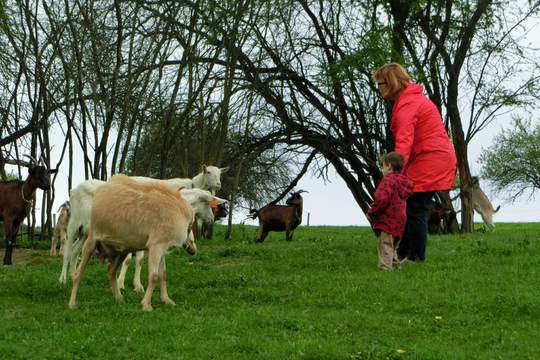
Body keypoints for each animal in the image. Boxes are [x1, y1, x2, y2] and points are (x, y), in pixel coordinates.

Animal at [68, 174, 196, 310]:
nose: (193, 250)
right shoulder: (156, 245)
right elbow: (154, 276)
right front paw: (146, 304)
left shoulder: (163, 249)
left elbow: (163, 275)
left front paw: (167, 300)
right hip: (91, 239)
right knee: (78, 273)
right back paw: (72, 303)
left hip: (122, 250)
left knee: (111, 271)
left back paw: (119, 298)